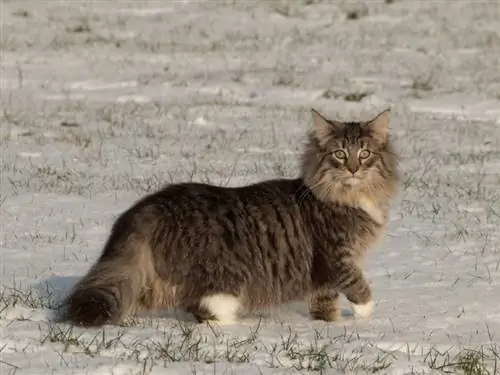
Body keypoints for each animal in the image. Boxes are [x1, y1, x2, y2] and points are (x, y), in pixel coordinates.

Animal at [63, 107, 398, 328]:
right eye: (340, 154)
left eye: (365, 154)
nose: (354, 169)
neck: (351, 197)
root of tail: (148, 208)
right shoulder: (336, 256)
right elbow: (358, 284)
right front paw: (366, 314)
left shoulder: (323, 276)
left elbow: (325, 303)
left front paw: (328, 325)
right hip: (222, 276)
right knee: (202, 308)